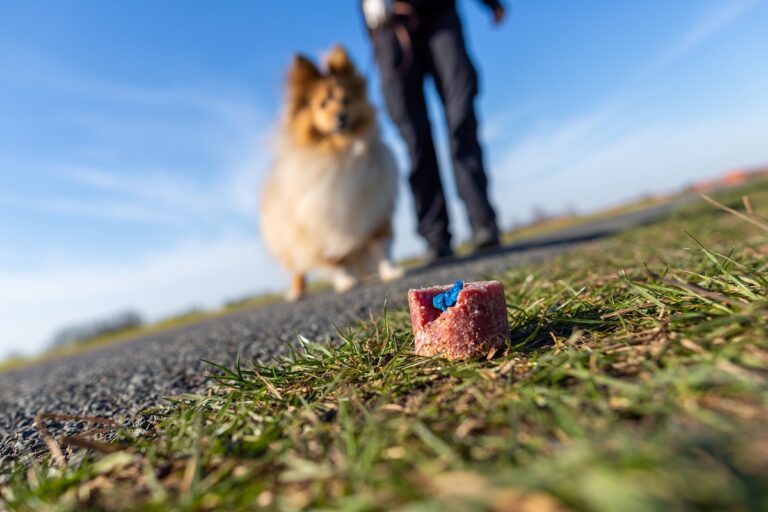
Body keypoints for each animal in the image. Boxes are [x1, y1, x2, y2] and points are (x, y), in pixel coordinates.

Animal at [260, 45, 404, 300]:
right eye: (322, 104)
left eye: (346, 100)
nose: (341, 116)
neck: (341, 152)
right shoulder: (322, 223)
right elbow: (336, 259)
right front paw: (346, 281)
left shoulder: (376, 209)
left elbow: (382, 245)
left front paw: (390, 271)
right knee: (298, 267)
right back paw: (296, 292)